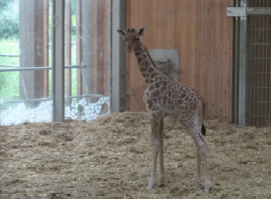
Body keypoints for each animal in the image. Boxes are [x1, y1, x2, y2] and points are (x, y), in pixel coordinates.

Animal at [117, 26, 212, 193]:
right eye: (125, 38)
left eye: (137, 38)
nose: (129, 48)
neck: (149, 78)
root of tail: (200, 99)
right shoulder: (160, 114)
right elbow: (161, 142)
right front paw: (161, 179)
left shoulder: (153, 112)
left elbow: (154, 143)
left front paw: (151, 183)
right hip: (193, 117)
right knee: (202, 140)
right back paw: (197, 176)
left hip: (185, 118)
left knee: (200, 143)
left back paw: (207, 185)